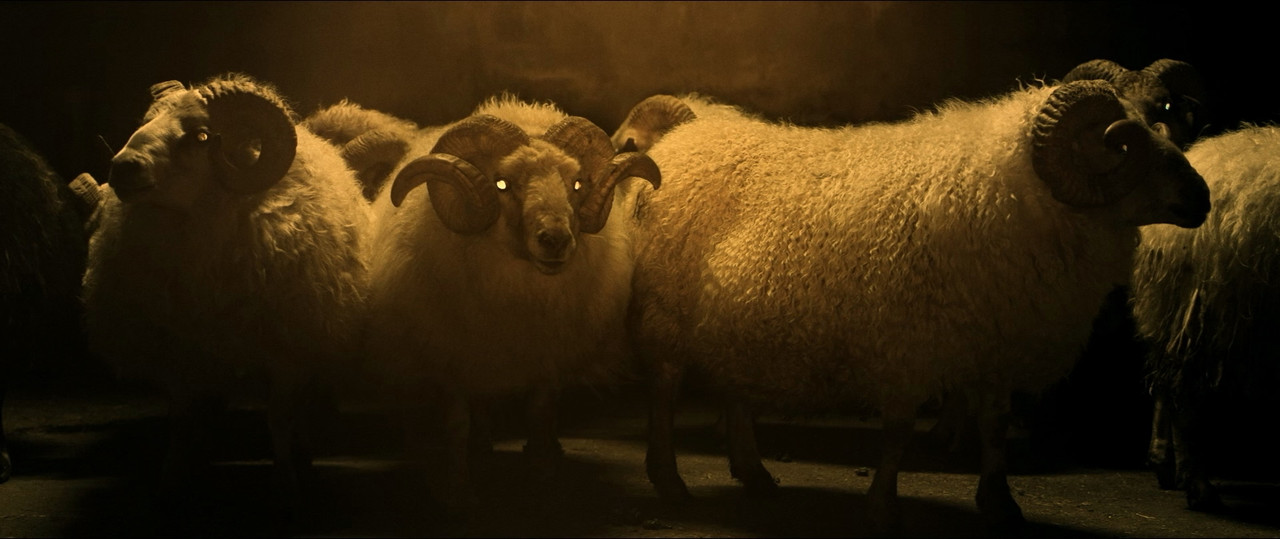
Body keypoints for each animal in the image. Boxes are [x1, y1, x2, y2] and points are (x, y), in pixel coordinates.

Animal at [80, 73, 371, 513]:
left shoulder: (287, 353)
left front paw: (286, 485)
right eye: (146, 120)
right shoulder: (178, 354)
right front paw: (171, 480)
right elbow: (182, 421)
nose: (123, 167)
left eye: (201, 136)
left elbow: (279, 418)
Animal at [363, 94, 661, 511]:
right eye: (501, 183)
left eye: (577, 183)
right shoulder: (451, 354)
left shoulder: (546, 356)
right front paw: (458, 489)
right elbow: (457, 421)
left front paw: (541, 472)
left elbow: (540, 412)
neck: (519, 291)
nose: (555, 239)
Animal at [615, 81, 1210, 534]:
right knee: (663, 392)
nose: (1202, 198)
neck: (1010, 193)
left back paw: (755, 474)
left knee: (735, 390)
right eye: (1124, 146)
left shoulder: (994, 345)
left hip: (733, 320)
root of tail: (685, 139)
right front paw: (883, 506)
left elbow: (995, 427)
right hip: (666, 315)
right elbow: (898, 432)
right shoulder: (907, 342)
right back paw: (670, 481)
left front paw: (1000, 503)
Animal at [1130, 124, 1280, 511]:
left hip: (1172, 308)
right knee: (1184, 397)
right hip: (1202, 310)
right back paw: (1198, 486)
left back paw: (1164, 465)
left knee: (1165, 385)